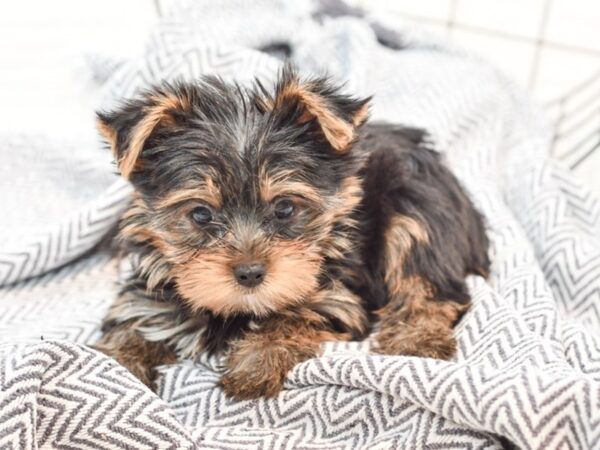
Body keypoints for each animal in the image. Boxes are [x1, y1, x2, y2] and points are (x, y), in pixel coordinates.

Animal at [92, 65, 488, 400]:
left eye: (284, 208)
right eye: (201, 214)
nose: (250, 273)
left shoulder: (337, 299)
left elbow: (295, 316)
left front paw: (257, 361)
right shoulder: (145, 301)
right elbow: (130, 328)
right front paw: (114, 365)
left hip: (417, 208)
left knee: (430, 285)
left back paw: (416, 341)